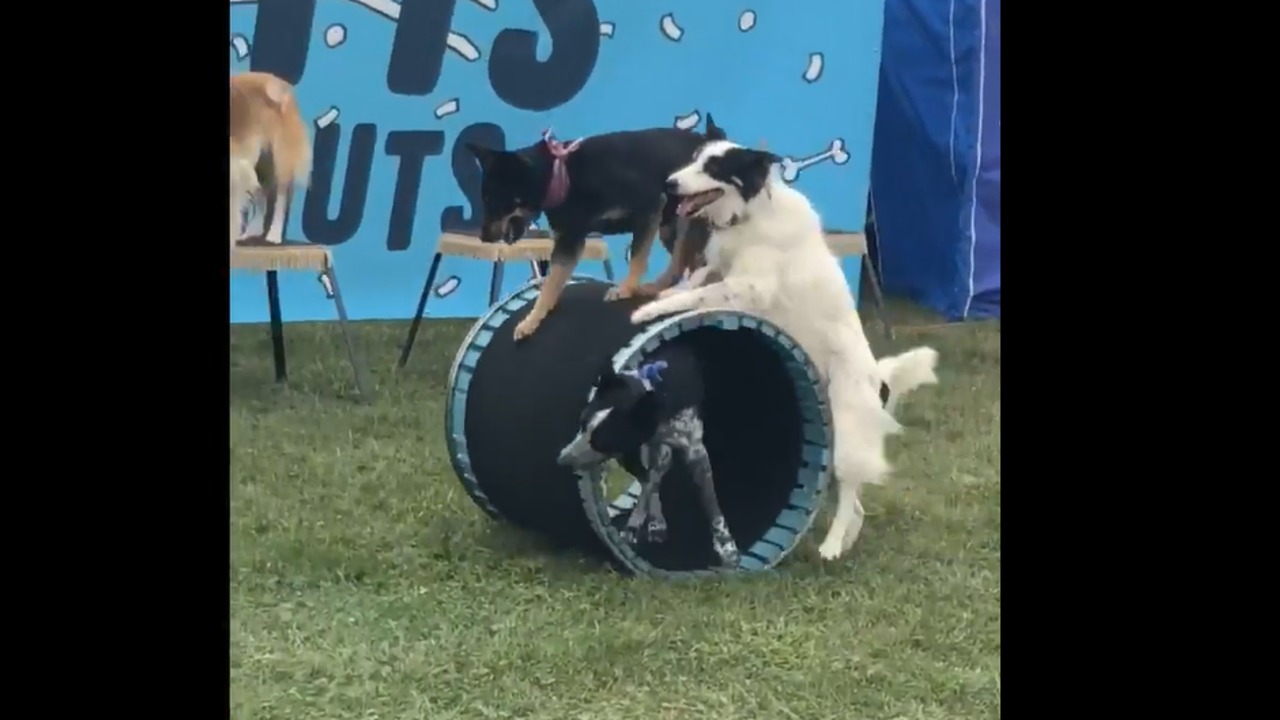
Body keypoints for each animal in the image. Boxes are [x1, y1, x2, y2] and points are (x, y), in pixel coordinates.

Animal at [229, 72, 311, 244]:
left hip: (278, 160)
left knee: (280, 197)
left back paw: (274, 235)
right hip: (259, 162)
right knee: (262, 195)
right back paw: (251, 232)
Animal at [552, 343, 742, 566]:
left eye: (601, 442)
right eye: (582, 424)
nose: (561, 460)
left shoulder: (696, 453)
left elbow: (712, 506)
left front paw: (727, 547)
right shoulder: (630, 452)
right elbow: (648, 483)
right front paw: (643, 524)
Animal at [629, 139, 942, 556]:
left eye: (713, 167)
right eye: (694, 159)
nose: (670, 183)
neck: (748, 214)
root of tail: (880, 378)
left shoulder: (751, 285)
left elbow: (703, 293)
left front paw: (650, 309)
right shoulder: (721, 266)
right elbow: (699, 277)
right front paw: (662, 293)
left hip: (846, 434)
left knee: (849, 494)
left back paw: (831, 546)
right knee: (858, 504)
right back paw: (845, 543)